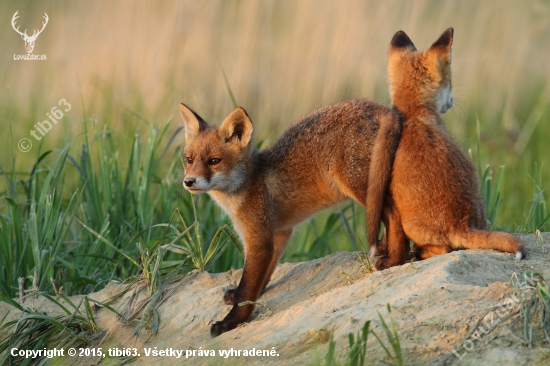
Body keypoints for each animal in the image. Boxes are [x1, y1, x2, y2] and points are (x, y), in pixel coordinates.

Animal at [179, 98, 404, 338]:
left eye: (214, 161)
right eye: (189, 160)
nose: (189, 181)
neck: (250, 183)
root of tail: (376, 105)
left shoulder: (259, 240)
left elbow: (247, 289)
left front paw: (230, 322)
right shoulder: (280, 233)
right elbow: (263, 276)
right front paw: (243, 295)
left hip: (362, 187)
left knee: (394, 214)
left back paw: (395, 259)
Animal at [374, 27, 528, 268]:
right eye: (450, 83)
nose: (453, 101)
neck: (413, 113)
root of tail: (462, 224)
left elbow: (392, 238)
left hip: (412, 226)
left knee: (442, 249)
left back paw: (420, 253)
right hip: (481, 212)